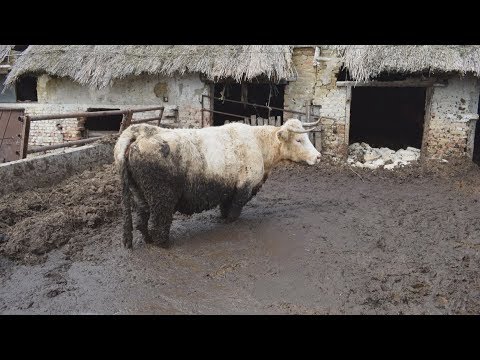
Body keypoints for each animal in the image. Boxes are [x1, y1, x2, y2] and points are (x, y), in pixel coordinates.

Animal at [114, 117, 320, 248]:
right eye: (299, 139)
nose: (318, 156)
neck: (259, 145)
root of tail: (141, 132)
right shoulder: (243, 188)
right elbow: (233, 212)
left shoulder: (228, 189)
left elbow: (225, 208)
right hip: (161, 198)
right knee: (157, 226)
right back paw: (163, 244)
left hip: (139, 195)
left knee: (141, 223)